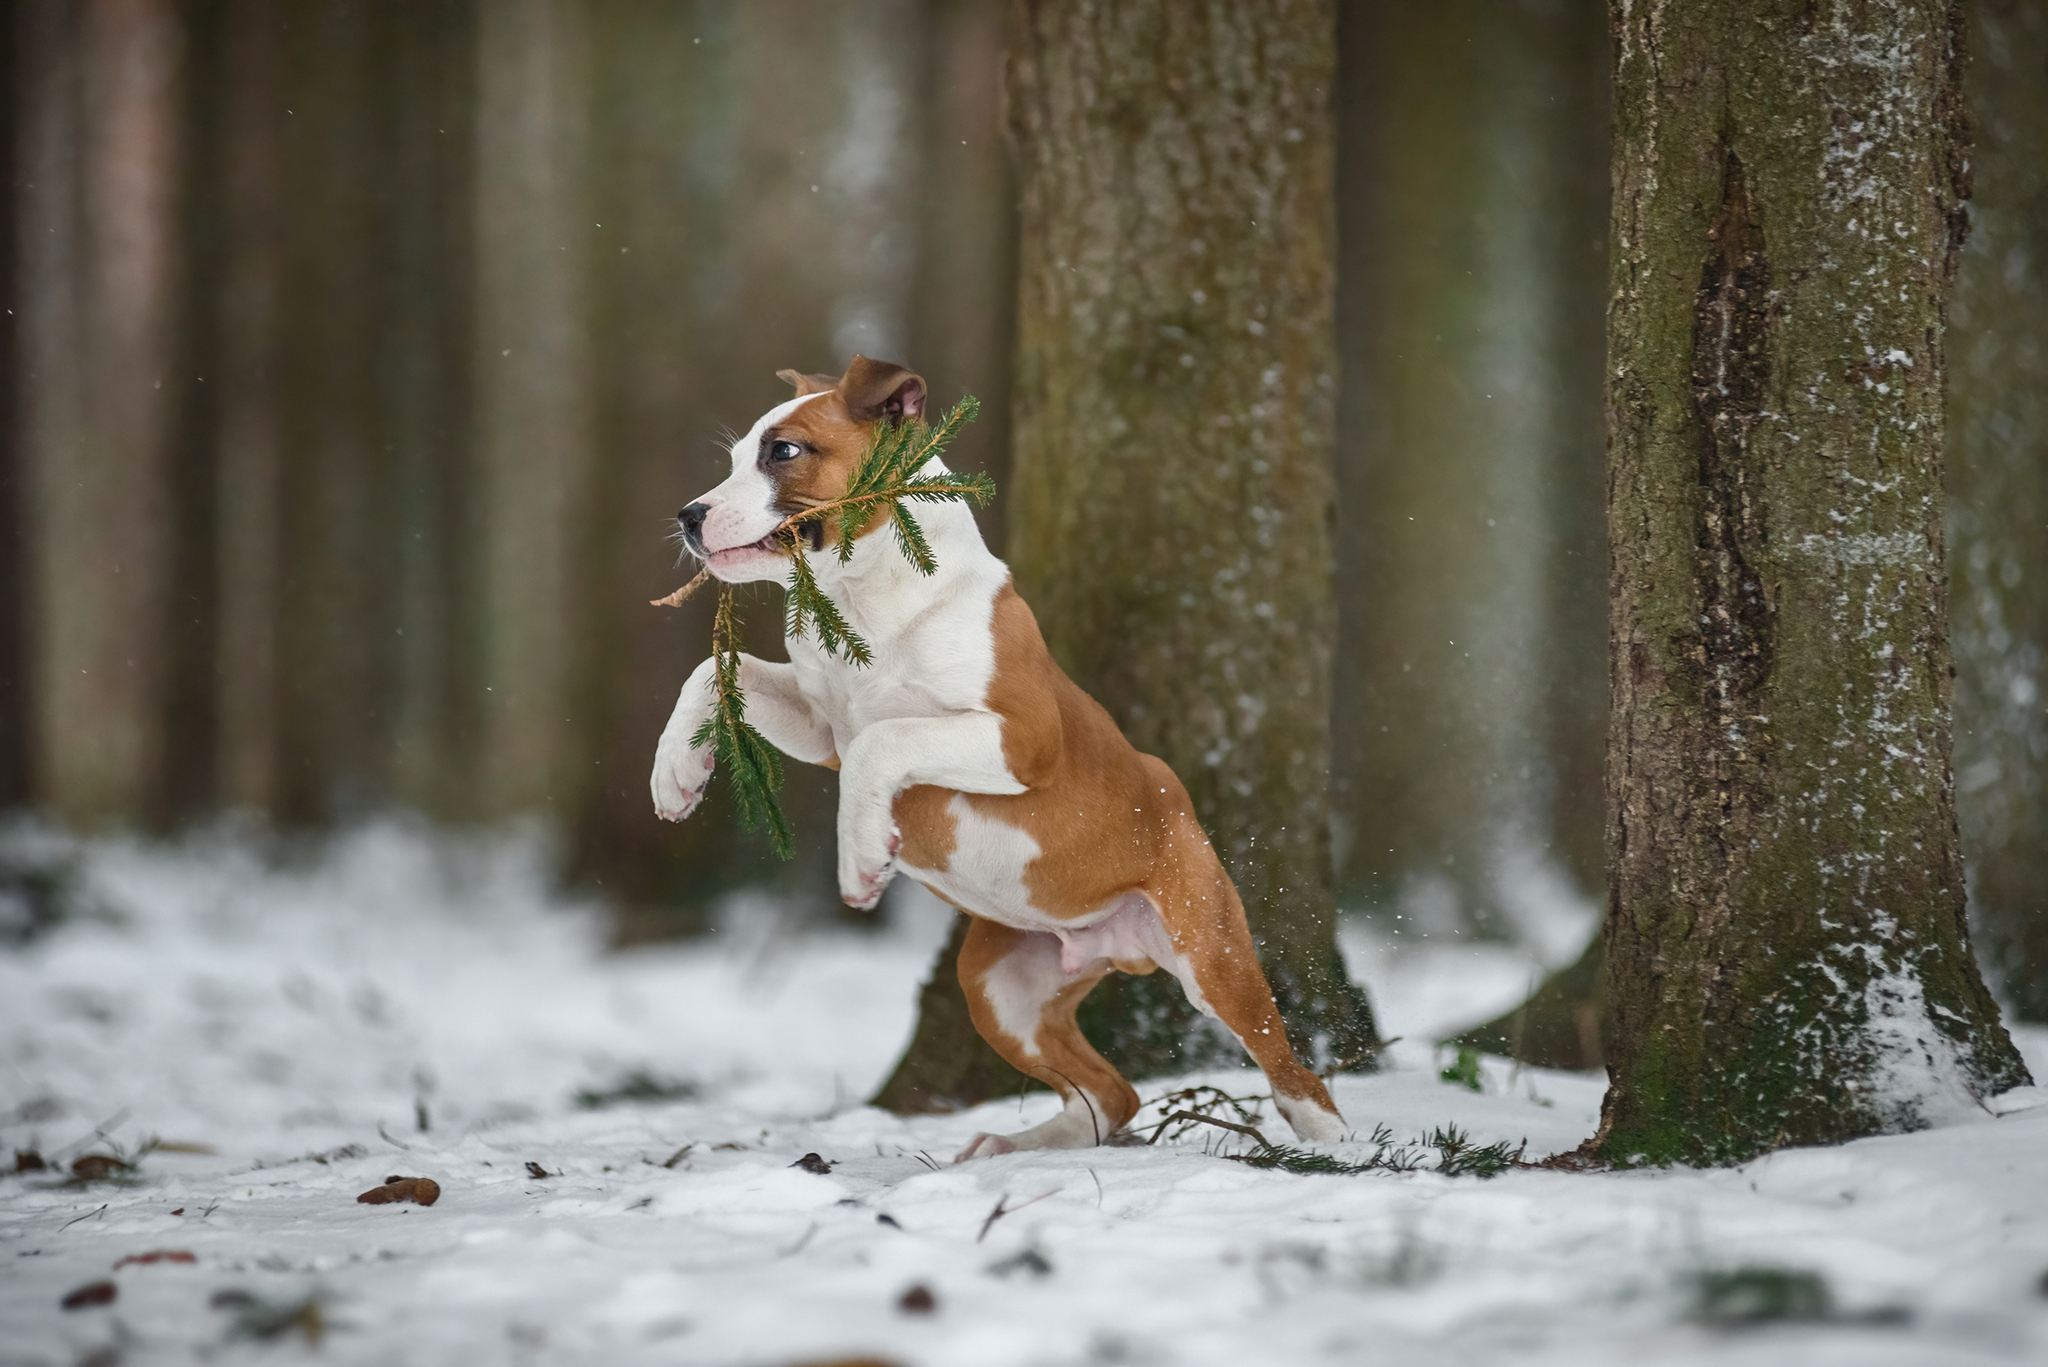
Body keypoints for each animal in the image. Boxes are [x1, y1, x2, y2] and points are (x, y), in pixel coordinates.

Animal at [651, 358, 1343, 1164]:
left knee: (1280, 1056)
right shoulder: (821, 723)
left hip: (1211, 952)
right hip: (1000, 990)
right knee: (1112, 1093)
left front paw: (861, 857)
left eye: (784, 451)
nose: (689, 515)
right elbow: (711, 673)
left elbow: (882, 740)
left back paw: (1327, 1135)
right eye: (736, 458)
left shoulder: (1021, 737)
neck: (862, 599)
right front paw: (676, 776)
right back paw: (1014, 1147)